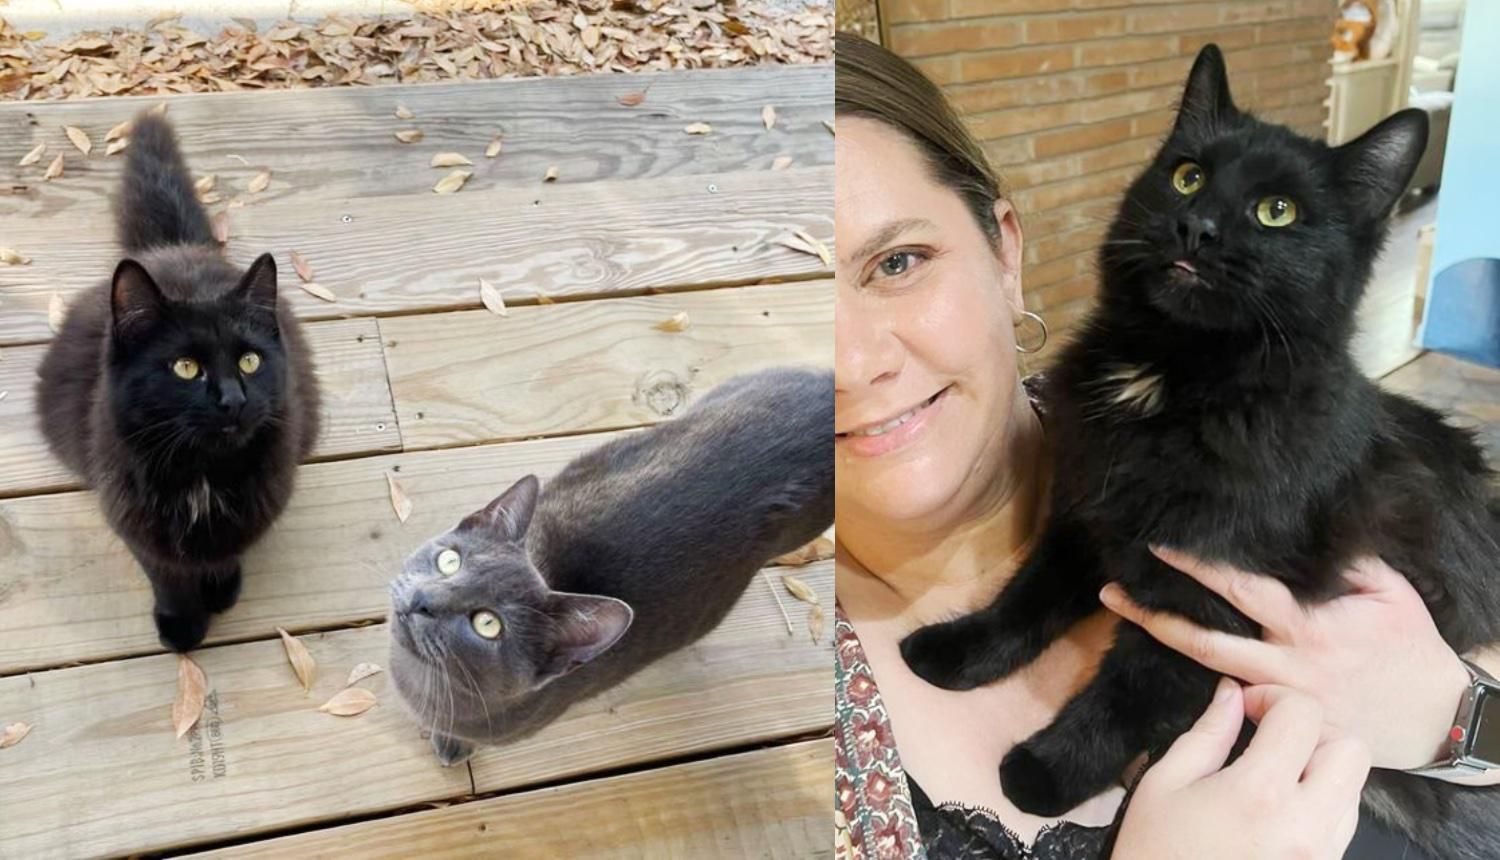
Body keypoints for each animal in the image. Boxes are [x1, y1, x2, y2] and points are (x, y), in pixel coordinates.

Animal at [36, 112, 321, 651]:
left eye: (250, 361)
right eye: (185, 368)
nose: (233, 399)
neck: (202, 476)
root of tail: (171, 249)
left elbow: (227, 552)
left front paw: (222, 589)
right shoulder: (132, 516)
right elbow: (165, 573)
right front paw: (183, 623)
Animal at [894, 45, 1500, 852]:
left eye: (1277, 212)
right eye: (1187, 176)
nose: (1197, 226)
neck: (1170, 380)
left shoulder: (1211, 605)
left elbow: (1127, 692)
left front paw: (1041, 773)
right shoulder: (1087, 520)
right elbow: (1024, 602)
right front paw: (952, 652)